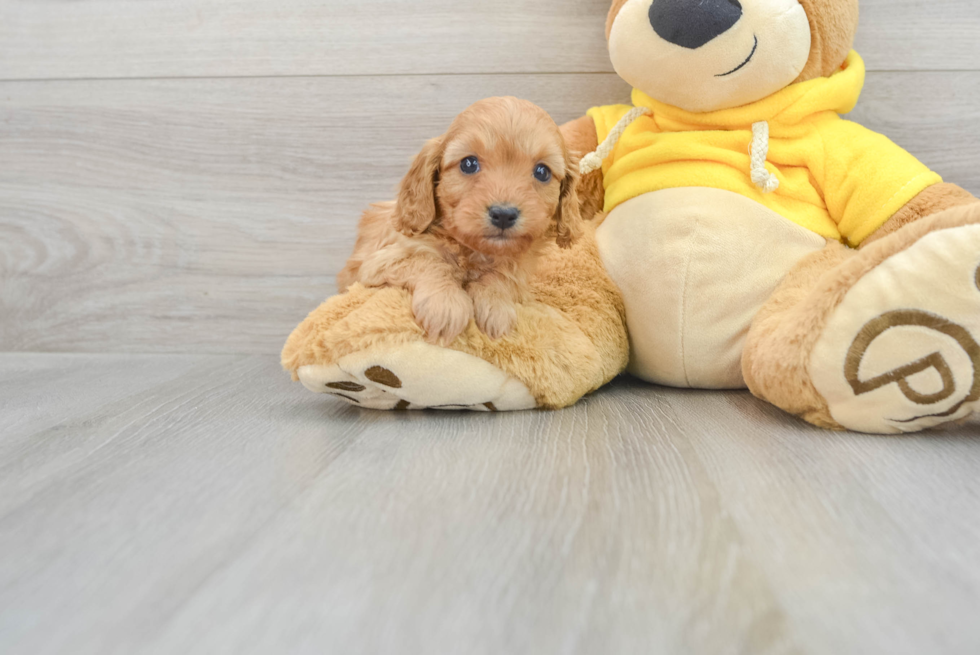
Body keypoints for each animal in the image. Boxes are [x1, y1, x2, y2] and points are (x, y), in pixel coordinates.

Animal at [336, 96, 580, 346]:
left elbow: (501, 276)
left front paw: (496, 306)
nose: (503, 214)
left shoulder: (518, 273)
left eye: (542, 172)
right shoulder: (380, 261)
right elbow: (429, 261)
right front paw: (445, 304)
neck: (473, 252)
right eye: (468, 164)